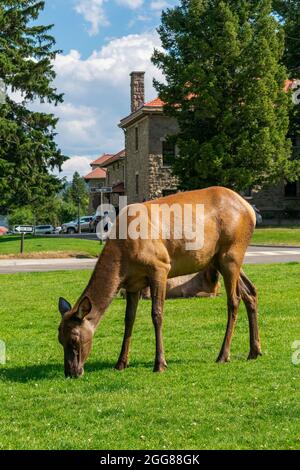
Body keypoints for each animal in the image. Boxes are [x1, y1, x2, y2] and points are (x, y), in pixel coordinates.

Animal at [58, 187, 260, 378]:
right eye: (59, 337)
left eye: (75, 338)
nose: (71, 372)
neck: (123, 260)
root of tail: (250, 210)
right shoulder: (132, 284)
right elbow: (129, 319)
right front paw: (121, 363)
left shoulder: (160, 267)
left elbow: (157, 314)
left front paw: (160, 363)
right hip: (220, 259)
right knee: (250, 292)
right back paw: (255, 351)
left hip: (231, 253)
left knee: (234, 300)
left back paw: (223, 355)